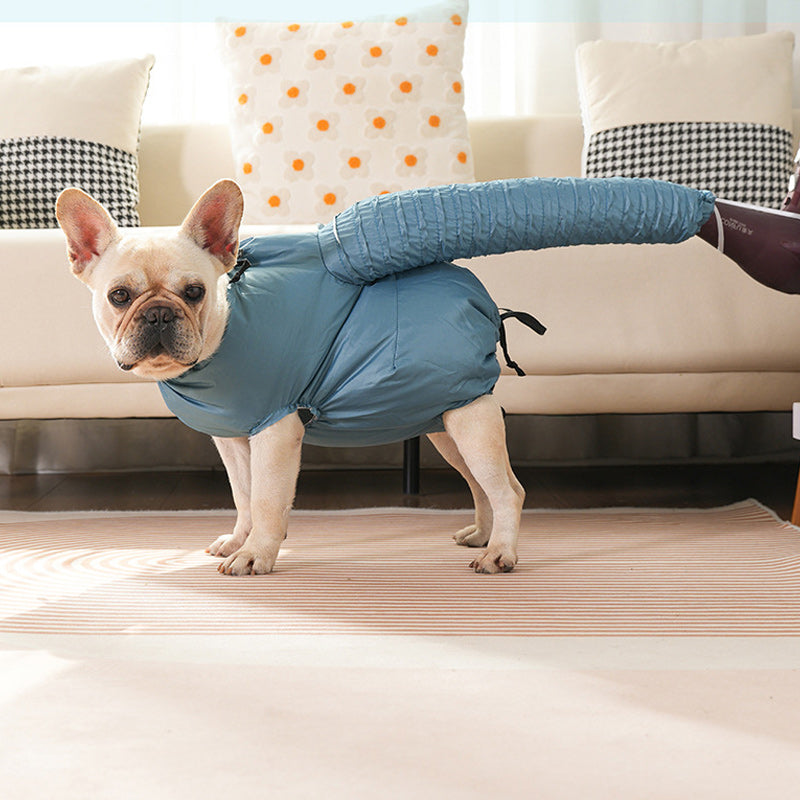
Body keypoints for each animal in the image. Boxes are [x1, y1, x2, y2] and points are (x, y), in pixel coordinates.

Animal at [56, 183, 524, 576]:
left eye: (193, 292)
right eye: (119, 296)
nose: (158, 313)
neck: (226, 334)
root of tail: (485, 305)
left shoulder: (275, 432)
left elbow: (266, 499)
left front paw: (255, 555)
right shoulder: (233, 440)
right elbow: (243, 495)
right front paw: (240, 541)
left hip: (470, 422)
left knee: (507, 491)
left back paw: (500, 552)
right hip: (446, 424)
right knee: (481, 485)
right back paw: (482, 536)